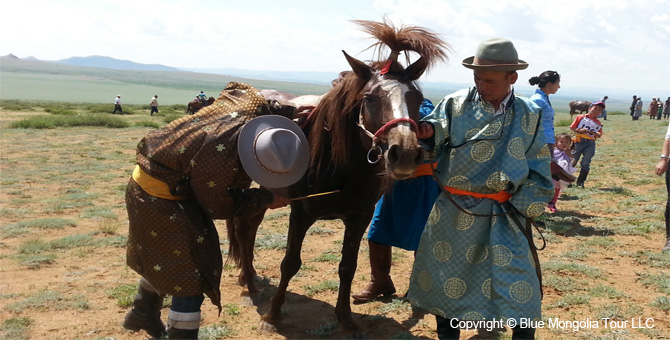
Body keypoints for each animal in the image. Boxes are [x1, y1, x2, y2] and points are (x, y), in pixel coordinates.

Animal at [226, 19, 452, 338]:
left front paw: (346, 319)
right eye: (369, 98)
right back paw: (248, 286)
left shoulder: (359, 217)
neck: (341, 166)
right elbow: (290, 263)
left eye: (418, 99)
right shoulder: (301, 213)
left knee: (250, 226)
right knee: (244, 228)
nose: (405, 153)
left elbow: (348, 266)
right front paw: (272, 316)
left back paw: (251, 279)